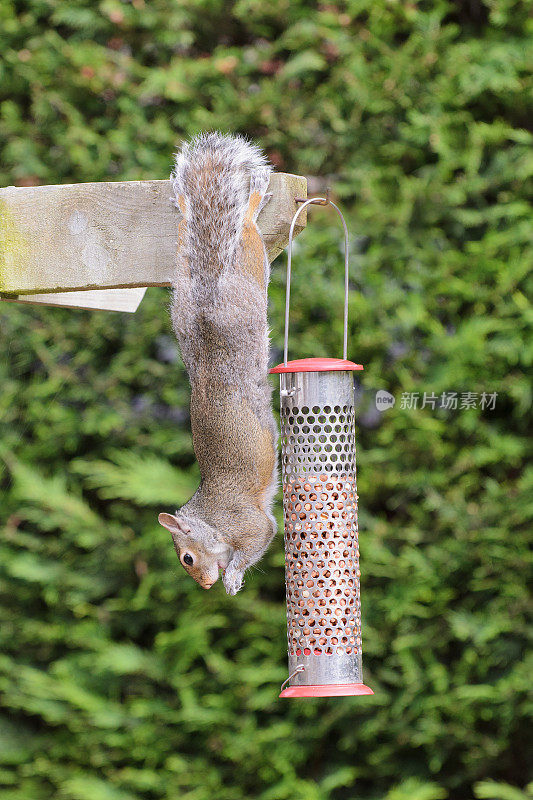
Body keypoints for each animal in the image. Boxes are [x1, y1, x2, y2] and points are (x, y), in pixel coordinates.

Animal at [158, 133, 278, 592]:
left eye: (187, 558)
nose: (205, 586)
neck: (212, 520)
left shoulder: (249, 523)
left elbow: (260, 538)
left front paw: (233, 577)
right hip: (183, 275)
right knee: (185, 232)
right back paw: (184, 203)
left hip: (250, 263)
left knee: (246, 225)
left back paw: (256, 196)